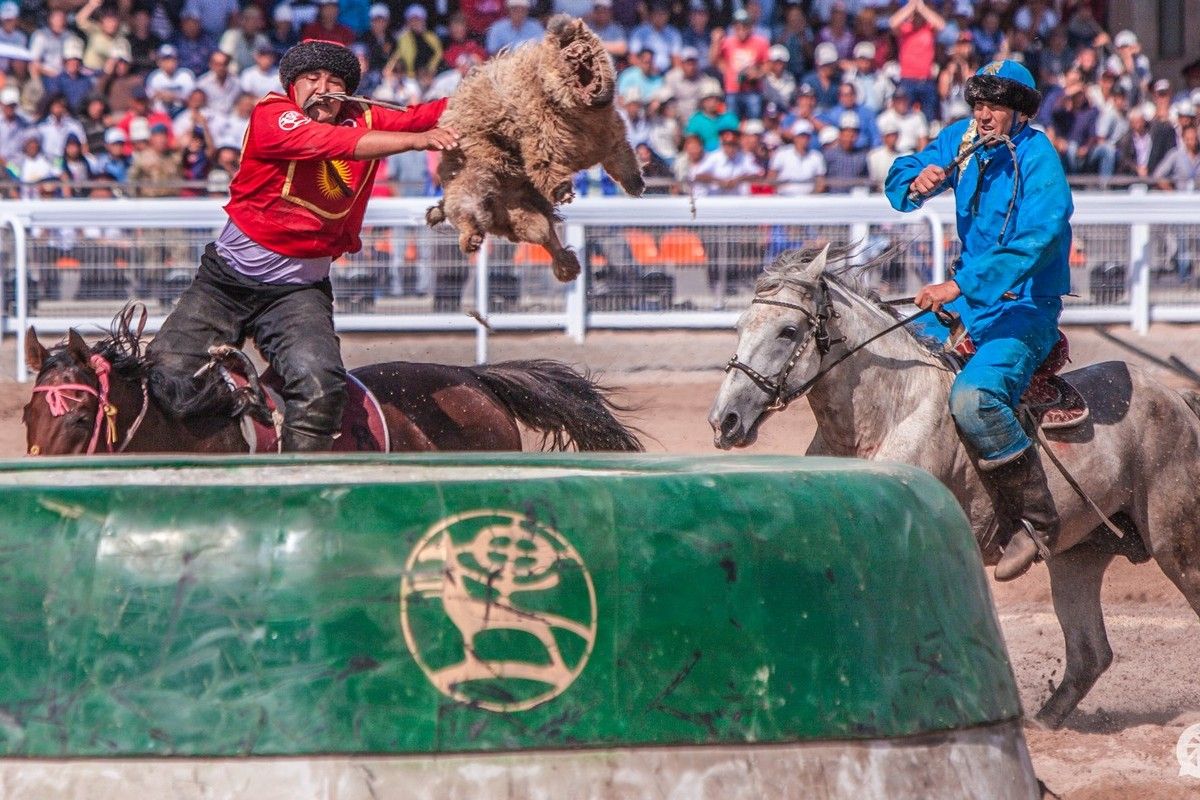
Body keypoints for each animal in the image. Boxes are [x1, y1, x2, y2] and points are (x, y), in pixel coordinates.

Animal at [705, 245, 1200, 734]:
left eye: (788, 331)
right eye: (739, 327)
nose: (724, 419)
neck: (890, 411)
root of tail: (1175, 399)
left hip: (1176, 546)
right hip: (1077, 559)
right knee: (1090, 654)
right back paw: (1040, 723)